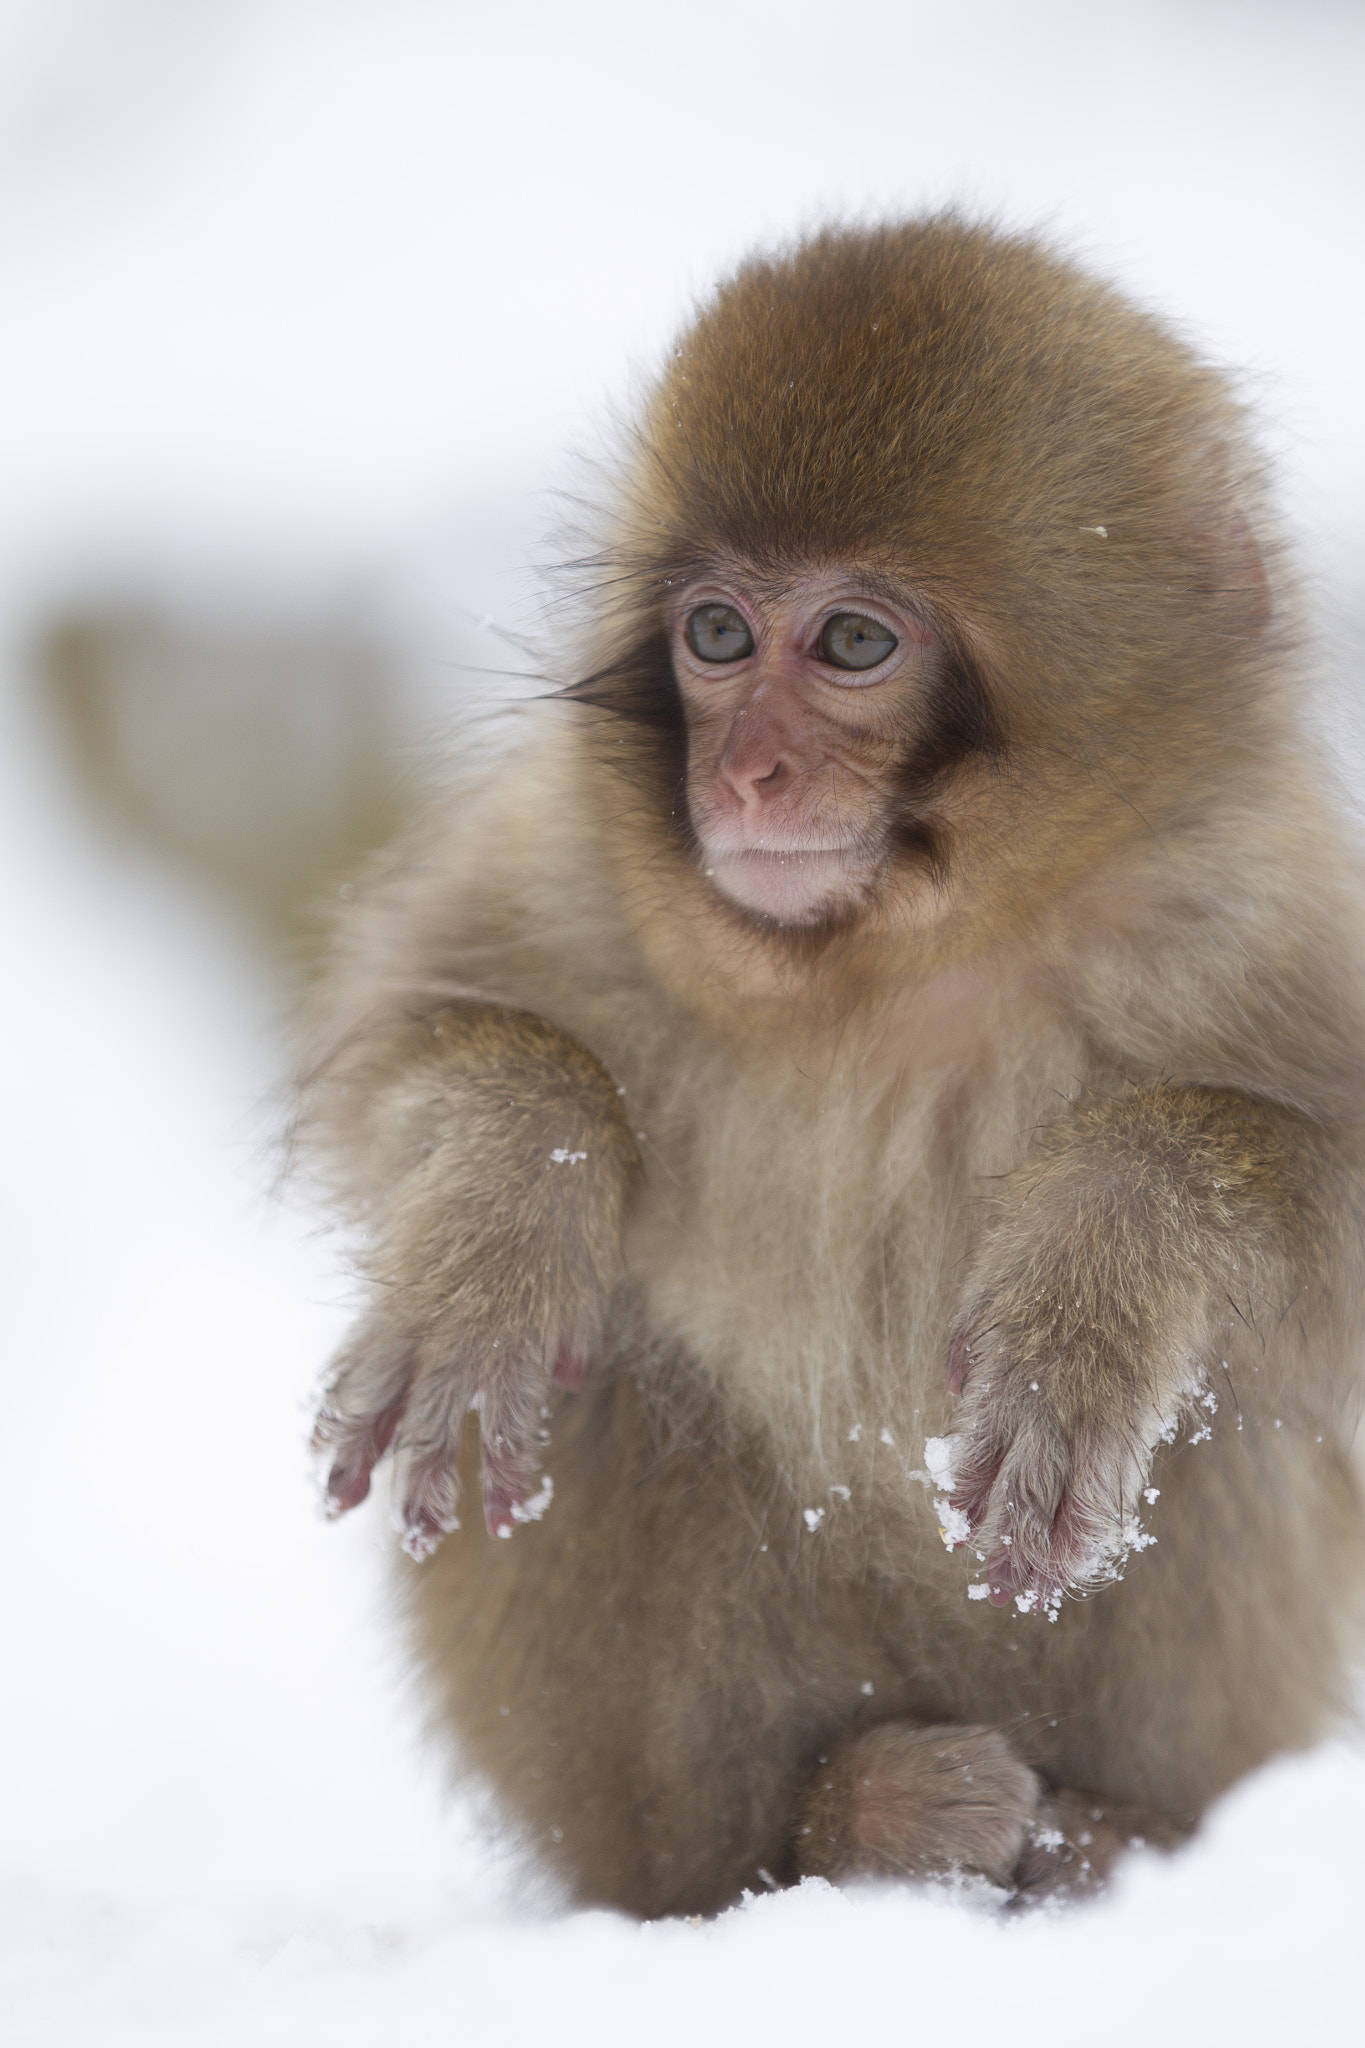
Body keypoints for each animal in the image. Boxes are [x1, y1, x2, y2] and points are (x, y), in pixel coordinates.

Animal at [301, 217, 1365, 1916]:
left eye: (855, 642)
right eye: (717, 635)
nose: (743, 774)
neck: (897, 966)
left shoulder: (1264, 899)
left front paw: (1111, 1241)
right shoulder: (566, 862)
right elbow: (404, 1056)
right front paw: (505, 1213)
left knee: (1233, 1407)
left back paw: (1099, 1838)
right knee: (629, 1388)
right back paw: (830, 1834)